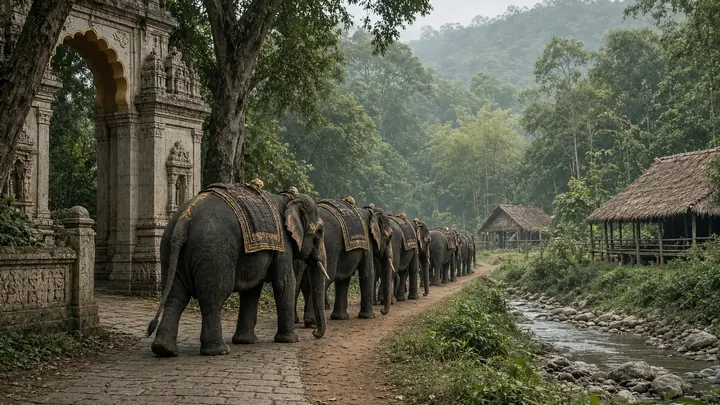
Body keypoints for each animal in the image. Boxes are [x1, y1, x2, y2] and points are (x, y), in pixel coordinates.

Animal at [146, 183, 328, 357]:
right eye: (319, 231)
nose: (314, 332)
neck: (287, 199)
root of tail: (183, 221)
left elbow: (252, 290)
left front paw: (245, 342)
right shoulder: (283, 244)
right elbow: (284, 283)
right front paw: (290, 340)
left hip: (169, 249)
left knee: (175, 296)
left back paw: (164, 349)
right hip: (214, 252)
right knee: (213, 295)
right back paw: (219, 351)